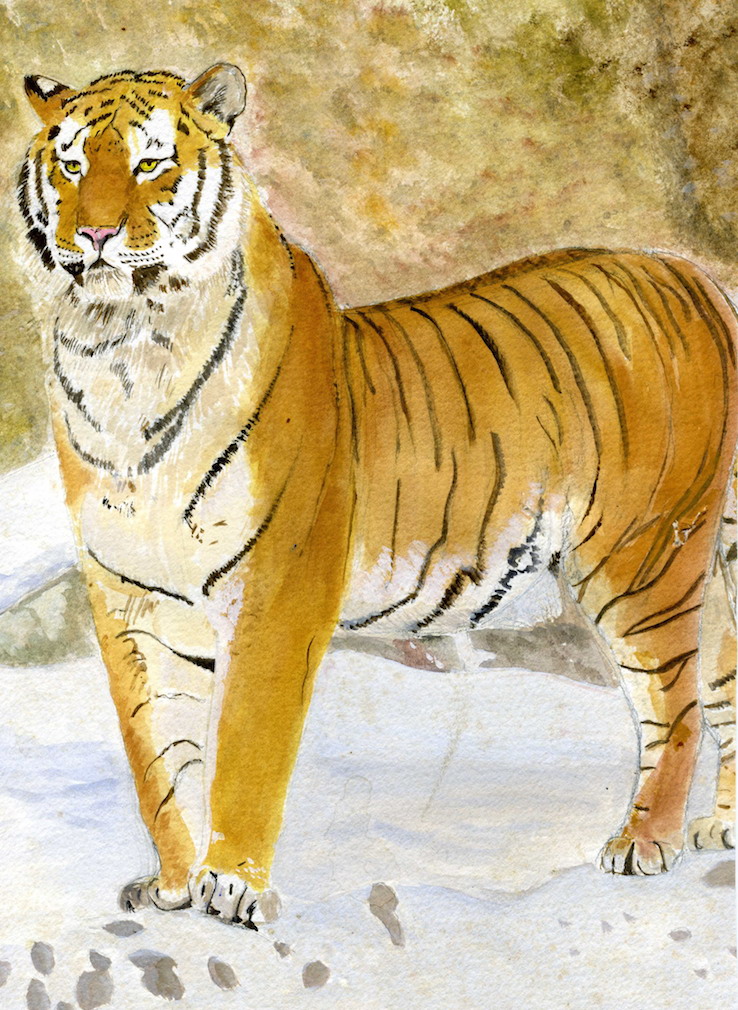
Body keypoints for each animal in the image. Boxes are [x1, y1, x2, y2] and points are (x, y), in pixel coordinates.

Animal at [17, 63, 736, 926]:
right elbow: (160, 758)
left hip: (642, 557)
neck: (122, 350)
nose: (92, 237)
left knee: (678, 705)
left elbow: (245, 750)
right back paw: (721, 828)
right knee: (725, 672)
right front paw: (174, 884)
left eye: (151, 162)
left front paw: (234, 886)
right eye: (72, 166)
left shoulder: (276, 592)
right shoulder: (131, 600)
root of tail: (692, 275)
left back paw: (644, 844)